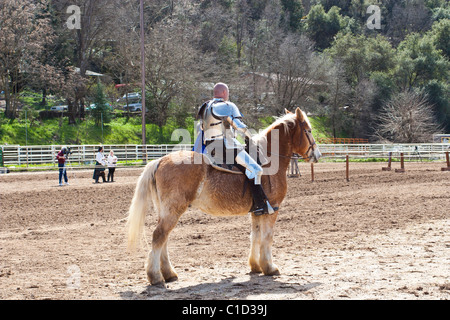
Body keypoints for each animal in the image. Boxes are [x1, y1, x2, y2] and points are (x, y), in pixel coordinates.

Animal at [125, 107, 320, 284]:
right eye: (308, 130)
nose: (316, 154)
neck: (268, 158)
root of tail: (160, 160)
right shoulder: (272, 209)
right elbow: (267, 237)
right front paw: (269, 267)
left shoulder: (258, 211)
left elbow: (255, 236)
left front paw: (256, 266)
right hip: (173, 210)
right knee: (159, 236)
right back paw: (155, 276)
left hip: (166, 211)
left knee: (163, 238)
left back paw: (168, 273)